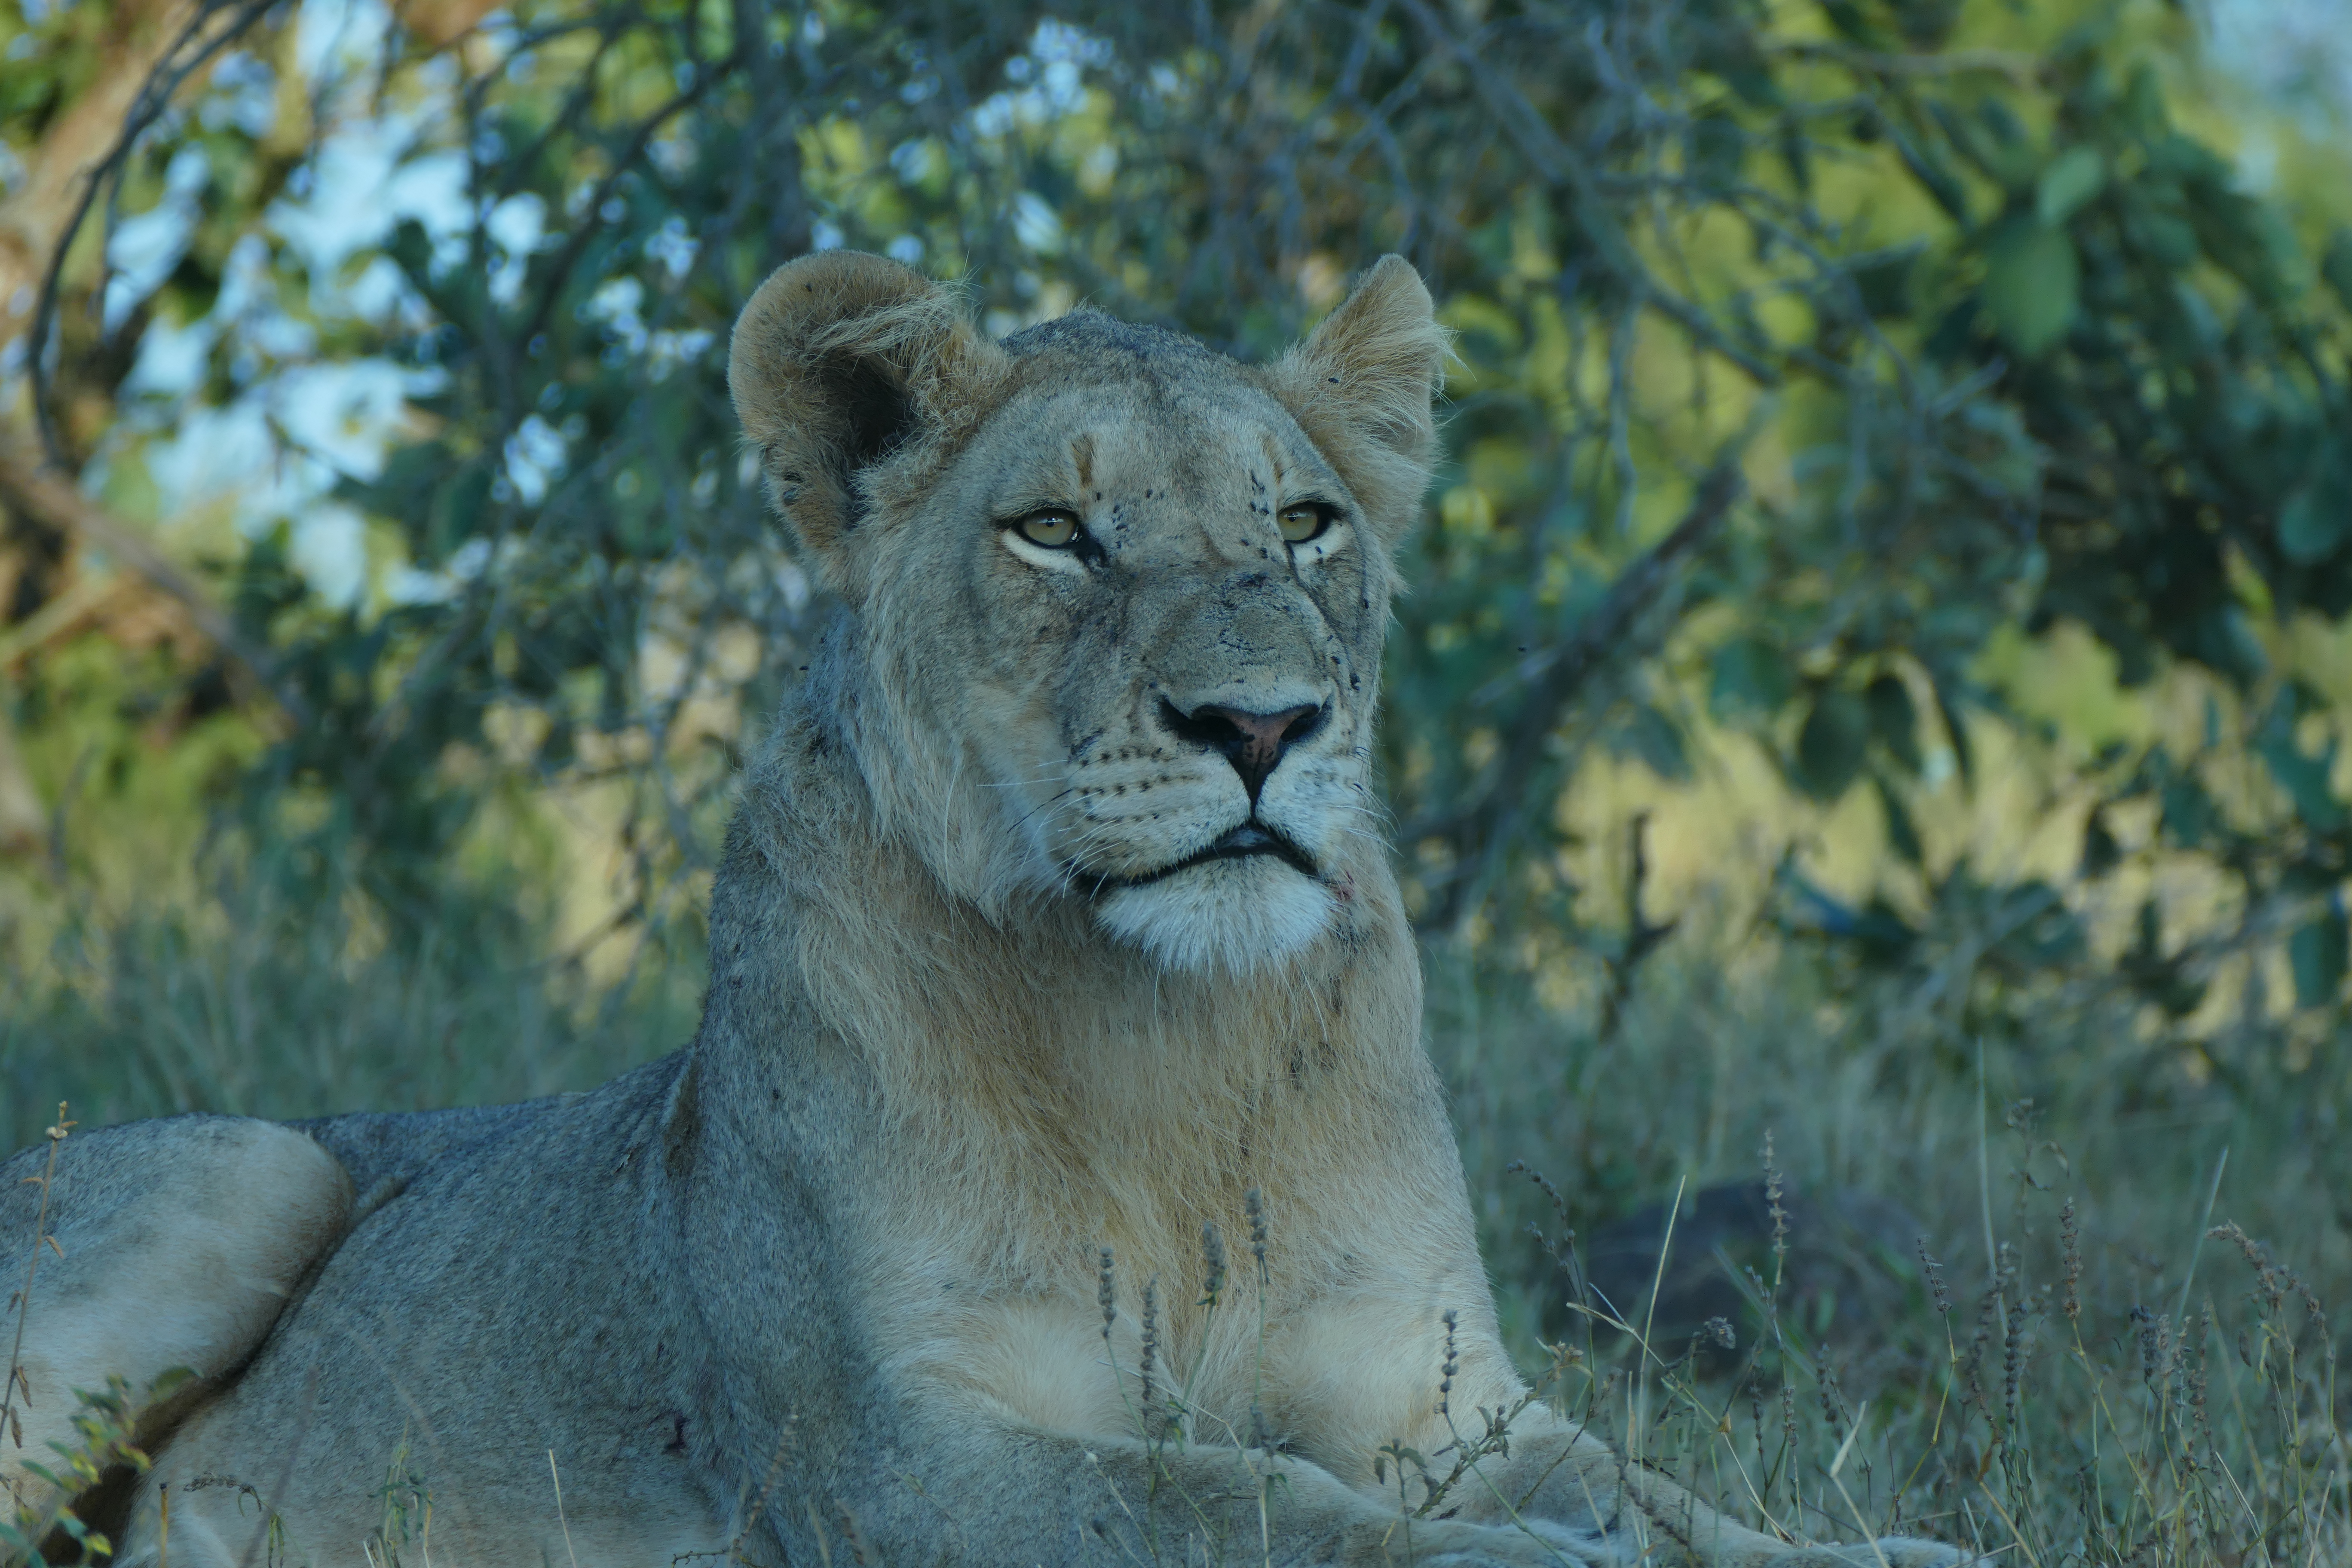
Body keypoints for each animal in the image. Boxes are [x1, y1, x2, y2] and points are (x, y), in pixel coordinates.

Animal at [3, 251, 1962, 1568]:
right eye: (1055, 535)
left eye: (1305, 523)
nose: (1264, 724)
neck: (1177, 1040)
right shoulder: (896, 1463)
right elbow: (1244, 1504)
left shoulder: (1443, 1397)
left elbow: (1675, 1498)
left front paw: (1885, 1549)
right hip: (252, 1164)